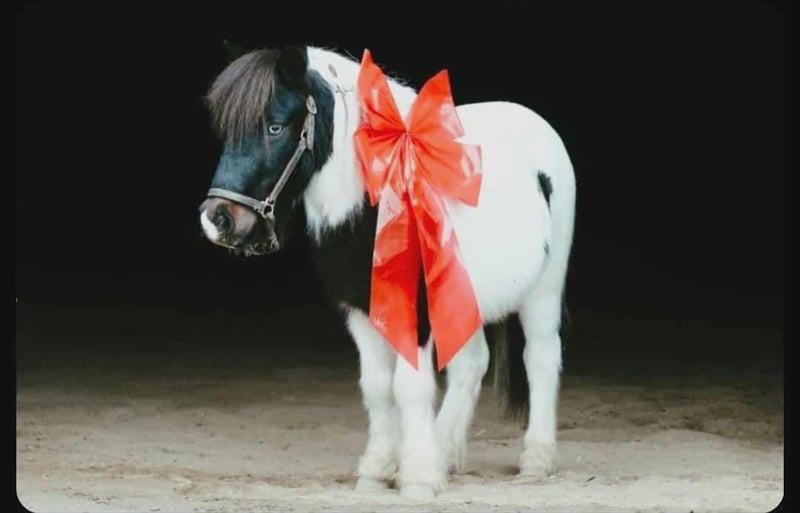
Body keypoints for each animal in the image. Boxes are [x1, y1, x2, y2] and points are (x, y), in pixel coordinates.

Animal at [197, 44, 576, 499]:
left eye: (275, 126)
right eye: (227, 132)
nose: (217, 220)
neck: (378, 205)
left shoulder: (416, 311)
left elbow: (409, 388)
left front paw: (417, 478)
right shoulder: (359, 310)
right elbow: (377, 387)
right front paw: (378, 471)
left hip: (544, 289)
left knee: (540, 357)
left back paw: (535, 460)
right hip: (462, 298)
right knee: (472, 364)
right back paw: (444, 451)